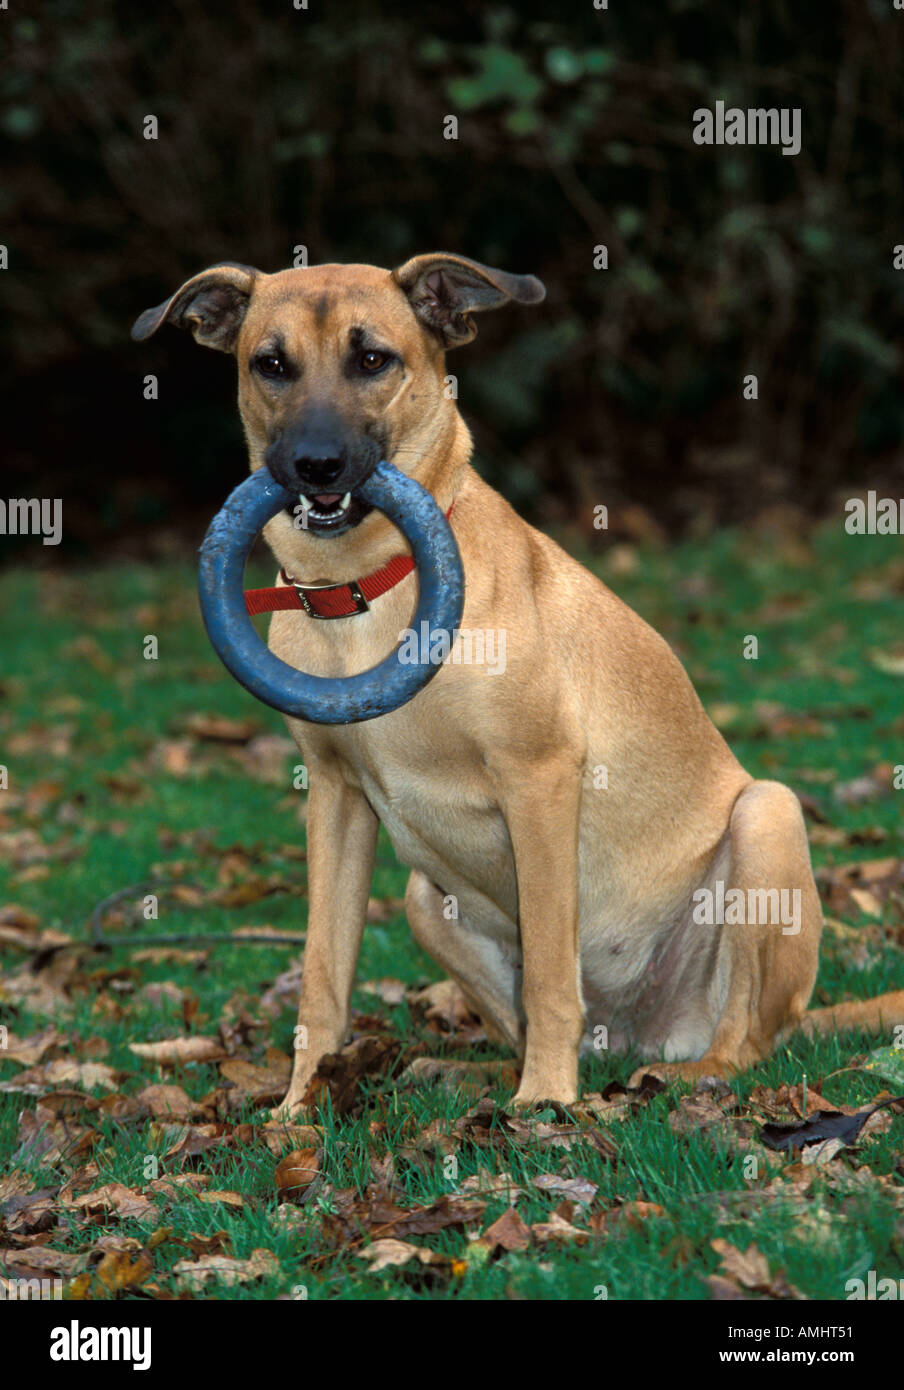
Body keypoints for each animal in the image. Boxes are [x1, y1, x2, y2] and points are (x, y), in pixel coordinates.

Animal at [133, 255, 901, 1112]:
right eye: (271, 364)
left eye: (373, 360)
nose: (316, 465)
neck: (363, 592)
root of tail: (636, 1034)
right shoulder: (335, 797)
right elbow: (324, 978)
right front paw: (299, 1108)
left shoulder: (538, 779)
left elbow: (551, 979)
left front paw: (544, 1104)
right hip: (424, 901)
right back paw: (465, 1074)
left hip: (767, 818)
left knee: (745, 1042)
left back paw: (672, 1076)